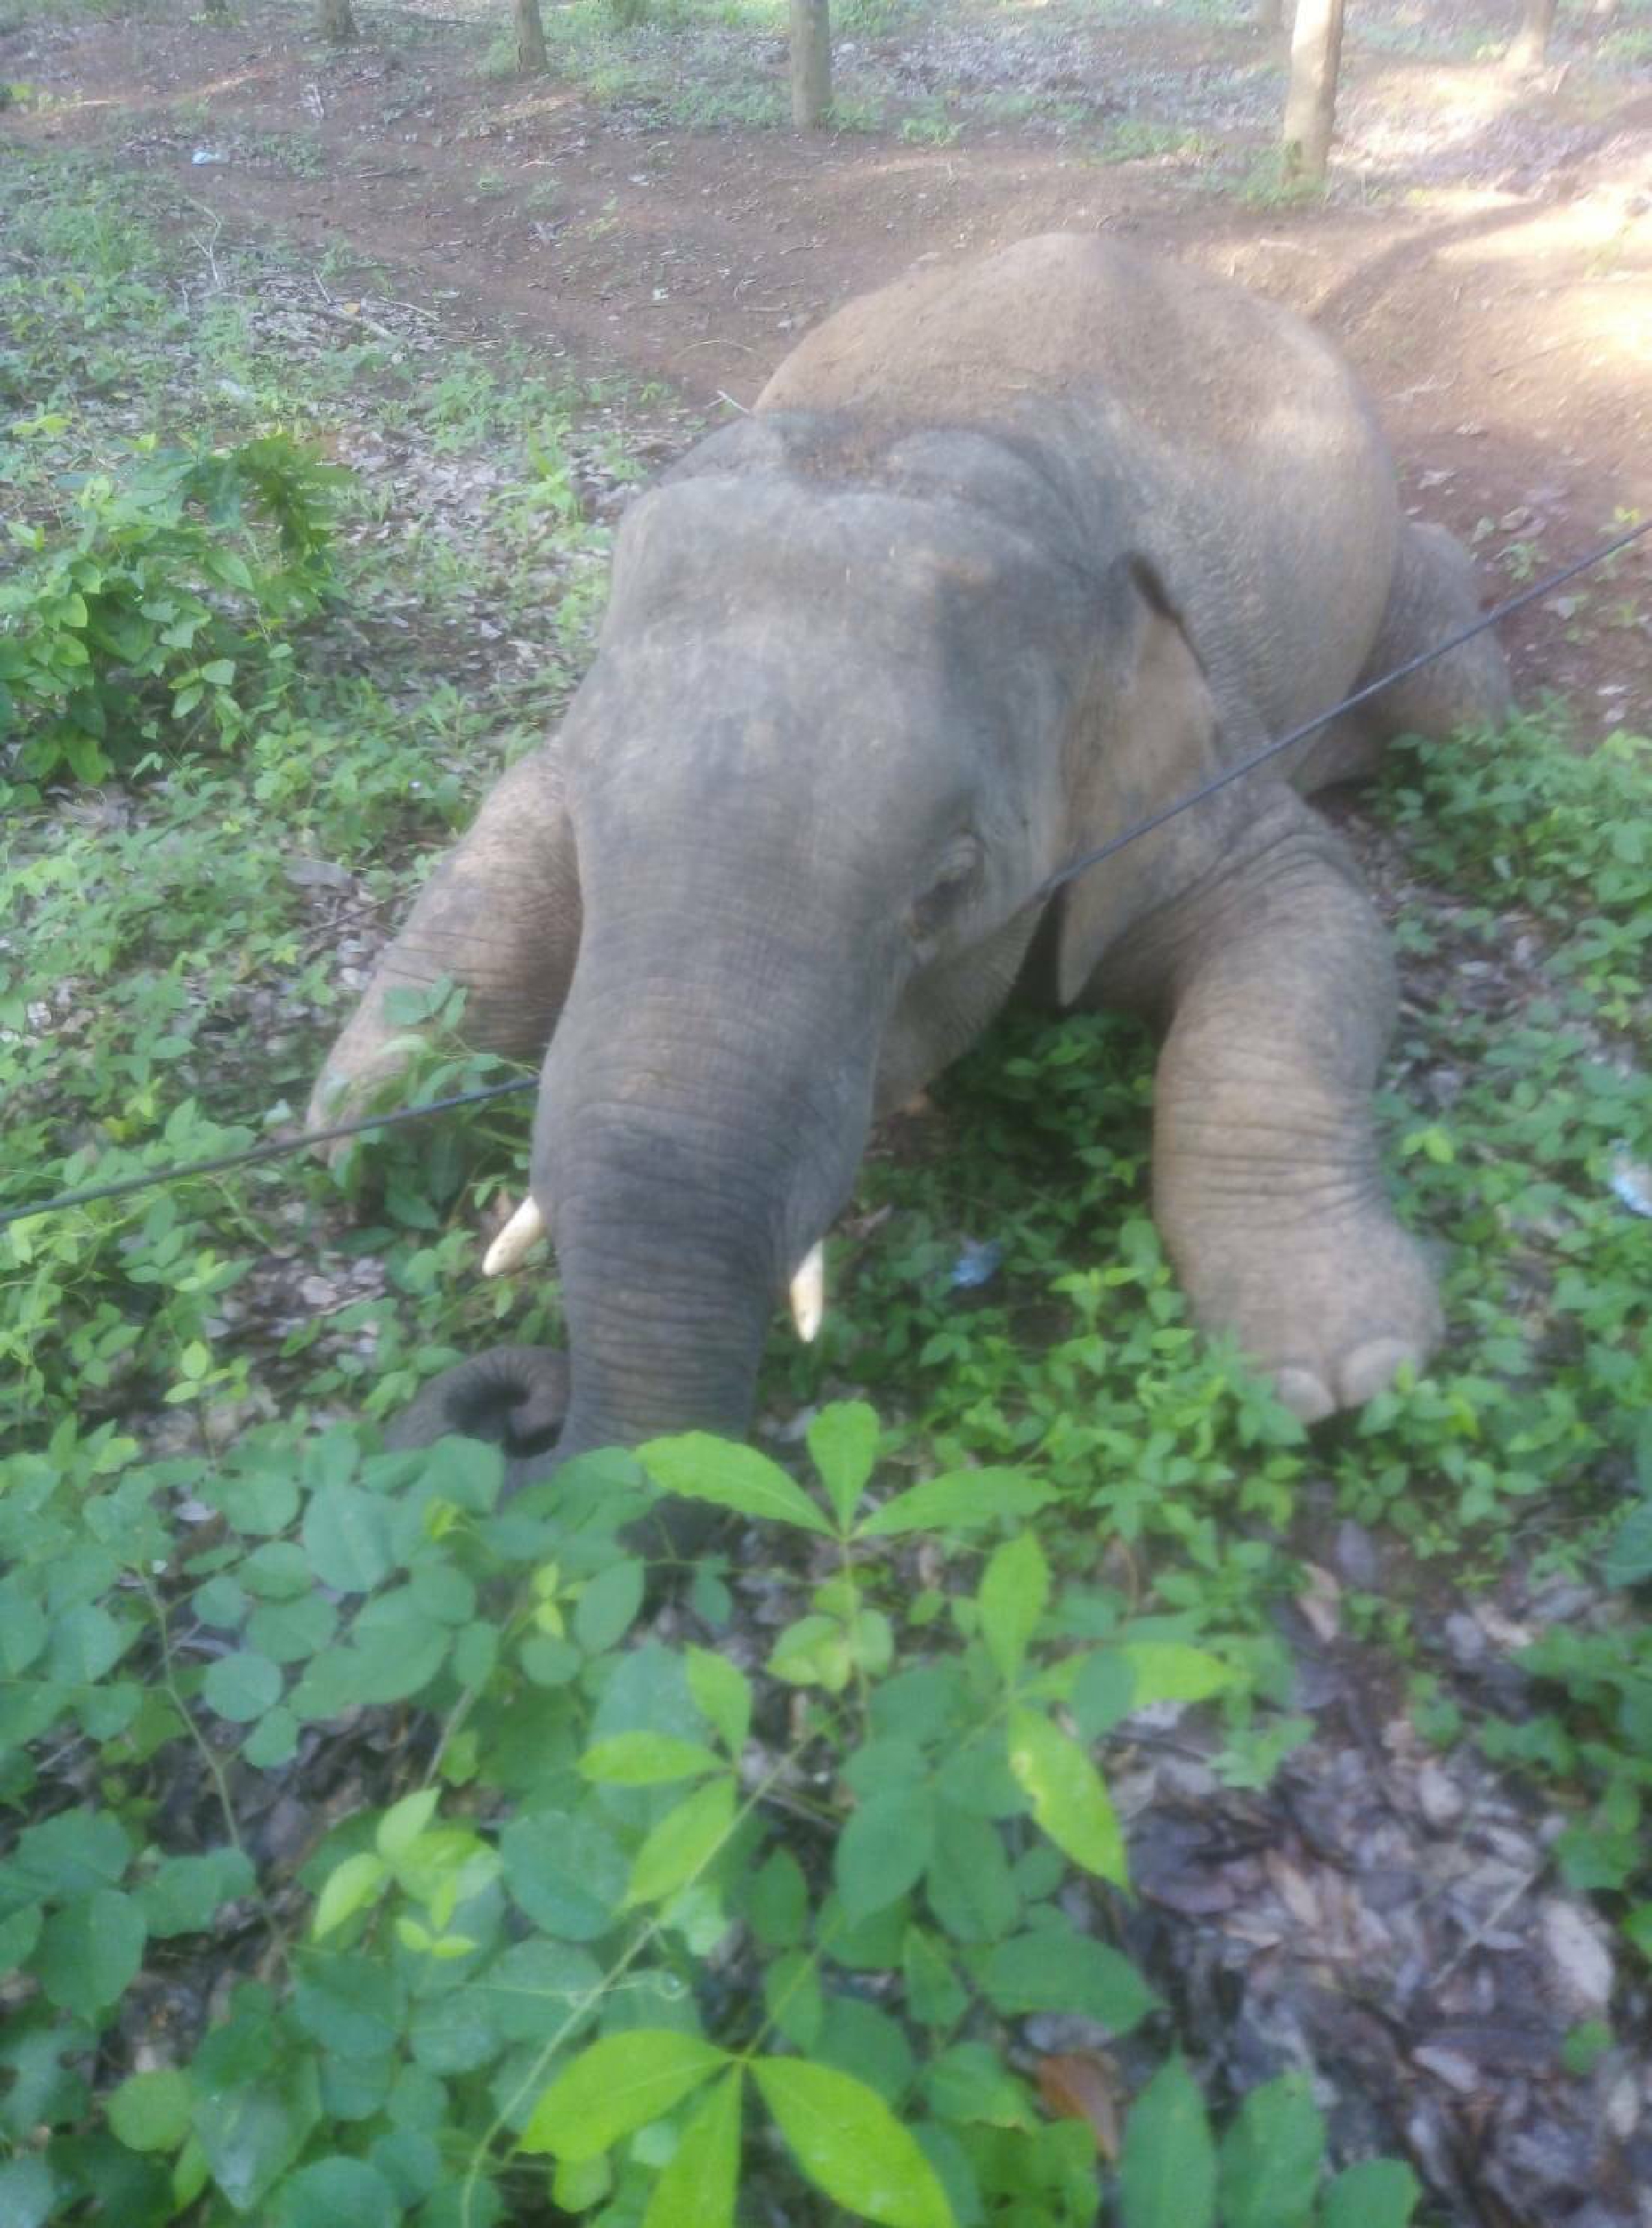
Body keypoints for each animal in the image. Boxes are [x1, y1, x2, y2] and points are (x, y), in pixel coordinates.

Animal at [309, 233, 1511, 1496]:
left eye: (947, 884)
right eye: (598, 831)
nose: (521, 1404)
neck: (926, 433)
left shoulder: (1202, 767)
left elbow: (1306, 917)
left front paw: (1346, 1374)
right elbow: (510, 827)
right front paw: (363, 1125)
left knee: (1455, 692)